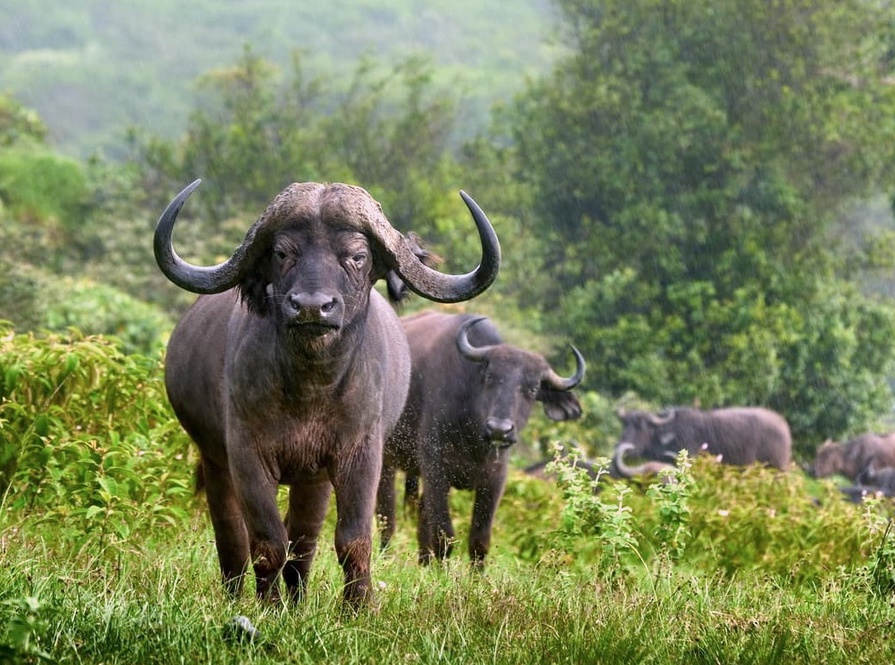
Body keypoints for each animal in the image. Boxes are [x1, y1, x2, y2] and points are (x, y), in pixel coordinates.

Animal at [154, 179, 500, 608]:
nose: (311, 307)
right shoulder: (246, 454)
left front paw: (358, 607)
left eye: (357, 256)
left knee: (304, 538)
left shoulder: (361, 455)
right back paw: (238, 596)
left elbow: (352, 540)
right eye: (282, 253)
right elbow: (267, 542)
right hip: (214, 458)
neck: (312, 389)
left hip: (312, 478)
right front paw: (267, 607)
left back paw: (298, 599)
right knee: (232, 534)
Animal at [376, 311, 585, 567]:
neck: (473, 437)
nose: (499, 429)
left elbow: (479, 539)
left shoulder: (495, 478)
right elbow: (444, 533)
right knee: (386, 515)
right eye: (490, 378)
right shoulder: (435, 469)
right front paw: (441, 572)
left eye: (533, 389)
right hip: (385, 459)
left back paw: (423, 563)